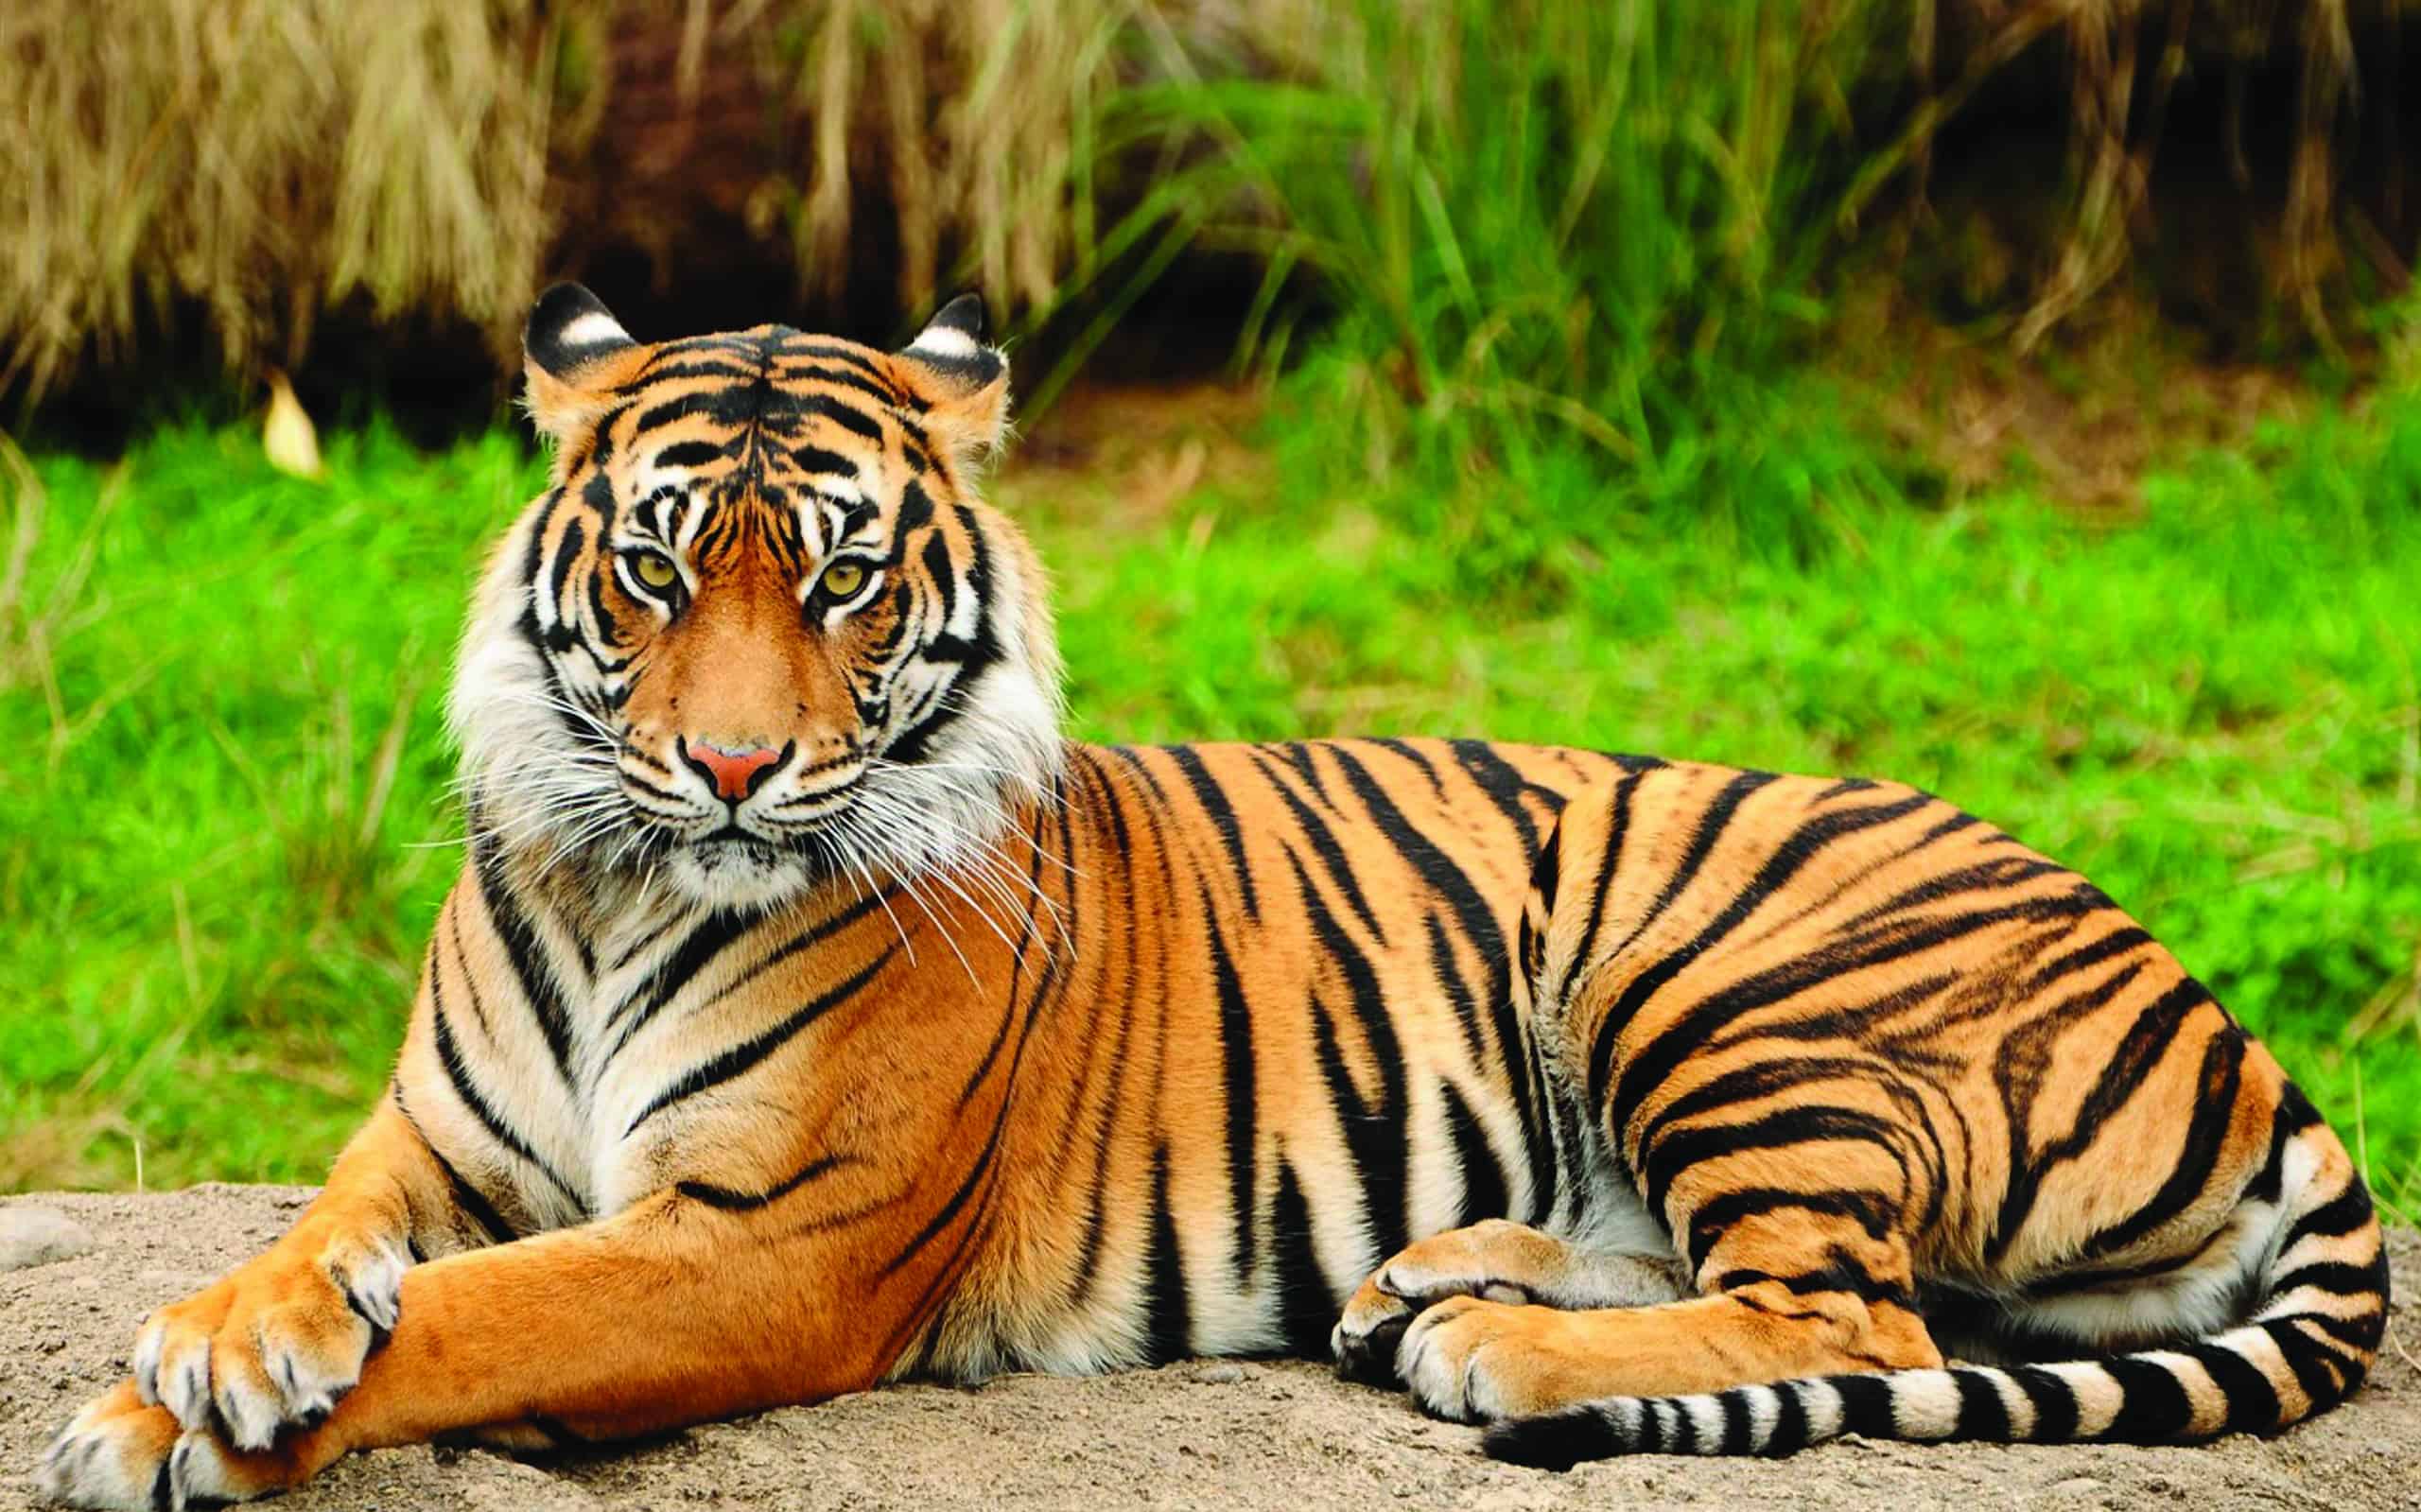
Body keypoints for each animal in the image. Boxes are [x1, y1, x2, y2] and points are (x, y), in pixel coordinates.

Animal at [41, 286, 2388, 1509]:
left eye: (842, 581)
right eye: (650, 570)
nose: (728, 767)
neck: (629, 889)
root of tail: (2224, 1019)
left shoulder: (761, 1242)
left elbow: (481, 1315)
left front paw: (161, 1419)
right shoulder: (434, 1142)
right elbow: (326, 1242)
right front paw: (219, 1340)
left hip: (1716, 967)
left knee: (1856, 1309)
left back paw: (1498, 1354)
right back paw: (1433, 1282)